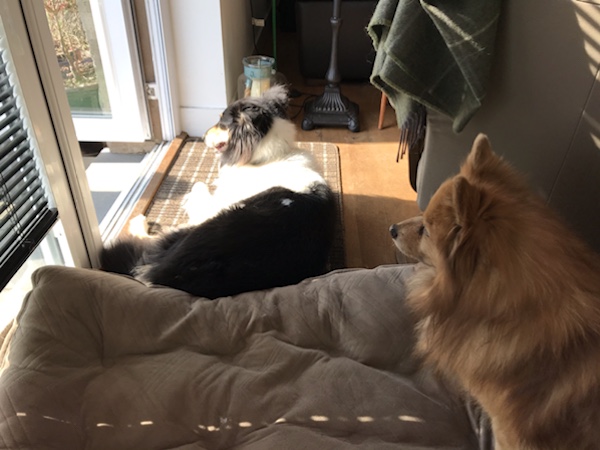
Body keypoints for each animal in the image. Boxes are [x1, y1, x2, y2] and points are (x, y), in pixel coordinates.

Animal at [100, 85, 336, 299]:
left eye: (223, 122)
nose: (203, 136)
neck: (271, 154)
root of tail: (166, 276)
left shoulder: (214, 204)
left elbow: (198, 186)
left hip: (195, 229)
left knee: (148, 250)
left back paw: (138, 223)